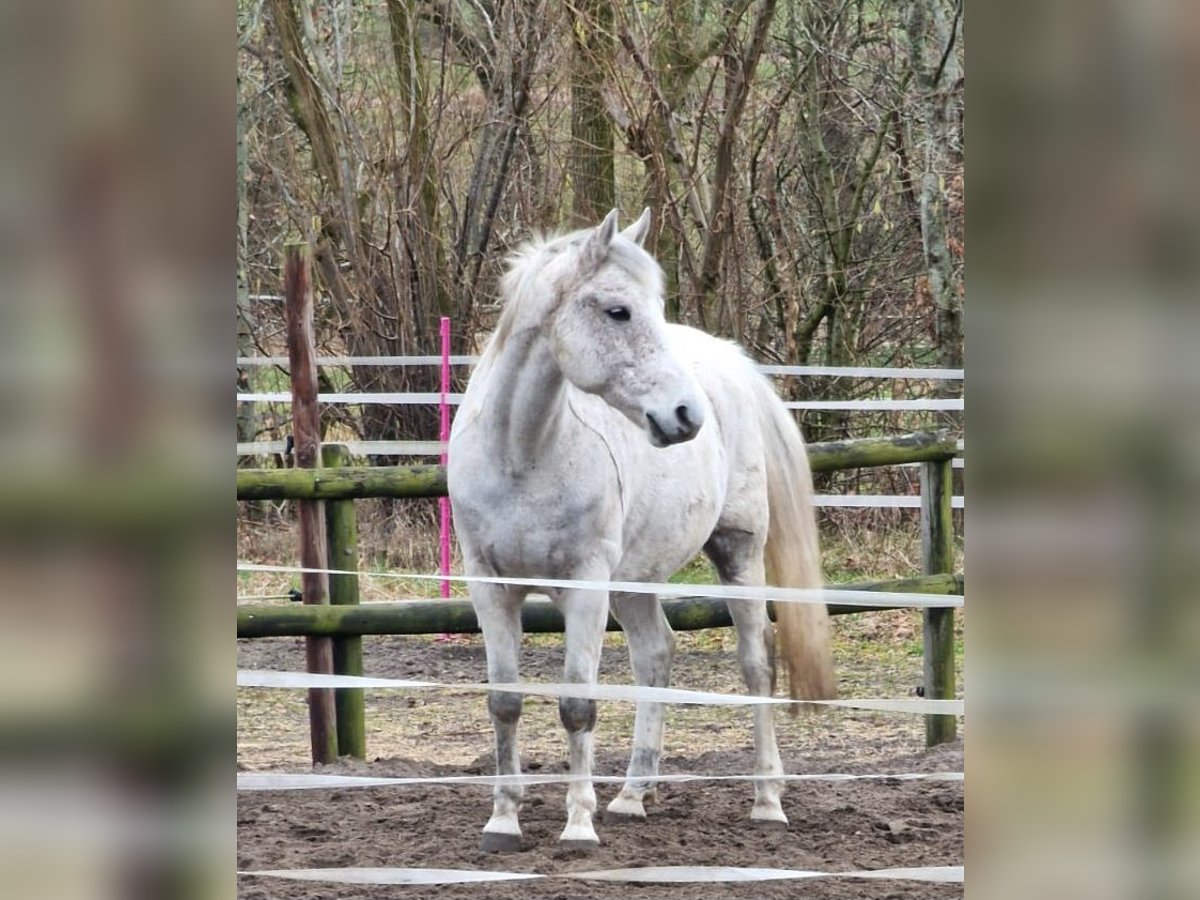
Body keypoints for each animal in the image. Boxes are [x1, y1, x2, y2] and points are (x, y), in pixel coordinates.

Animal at [448, 210, 835, 854]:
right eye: (618, 311)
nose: (686, 416)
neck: (521, 455)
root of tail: (728, 359)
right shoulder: (489, 584)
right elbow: (504, 702)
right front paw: (502, 822)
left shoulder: (584, 586)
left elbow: (578, 705)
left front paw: (578, 826)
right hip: (634, 579)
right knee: (656, 654)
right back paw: (632, 795)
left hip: (737, 552)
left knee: (756, 661)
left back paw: (767, 801)